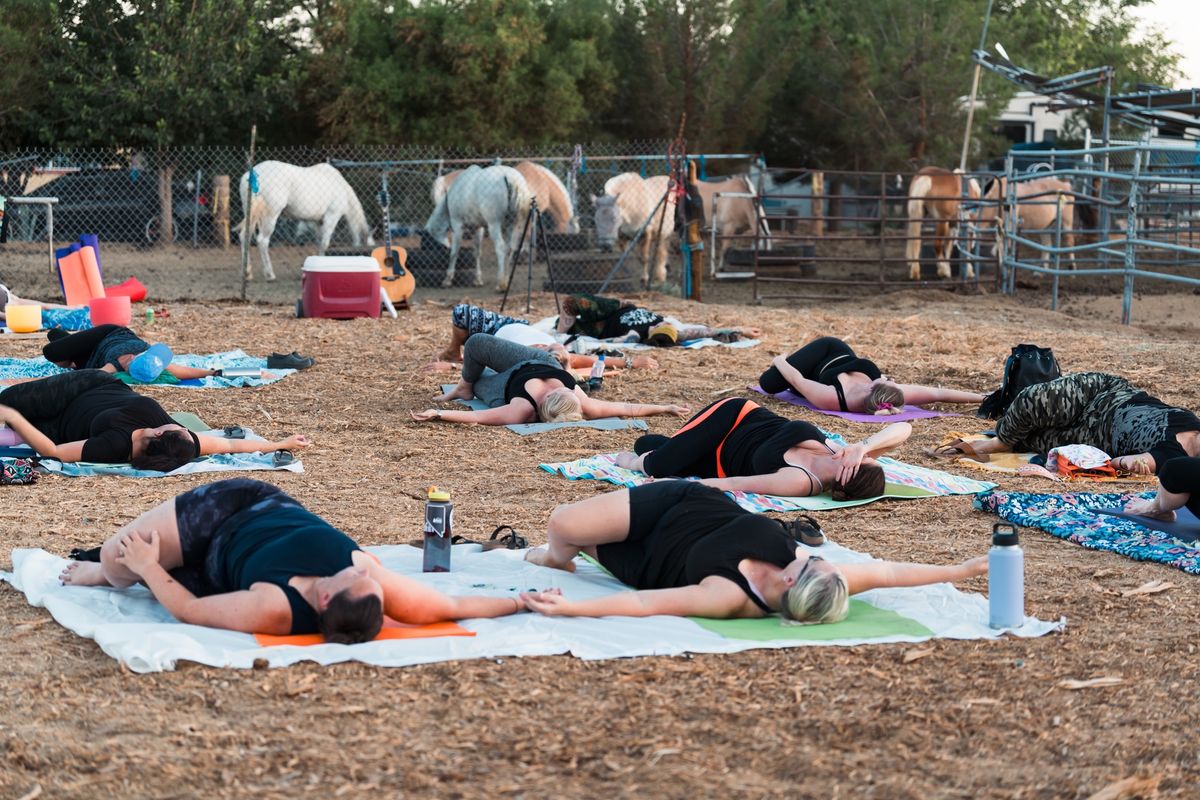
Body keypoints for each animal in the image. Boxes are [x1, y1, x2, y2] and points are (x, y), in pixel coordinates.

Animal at [231, 159, 367, 281]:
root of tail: (253, 174)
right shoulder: (331, 217)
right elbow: (324, 244)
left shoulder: (318, 222)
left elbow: (320, 243)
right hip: (270, 216)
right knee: (262, 241)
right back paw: (270, 275)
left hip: (251, 214)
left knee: (245, 237)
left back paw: (247, 273)